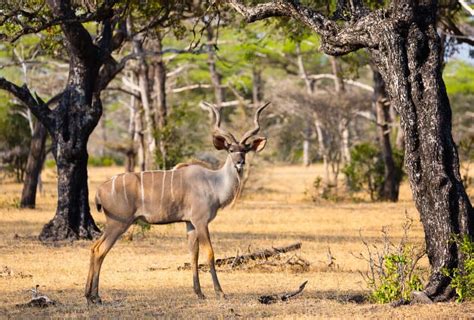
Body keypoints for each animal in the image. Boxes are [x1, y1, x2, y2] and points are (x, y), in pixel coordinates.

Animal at [85, 101, 270, 304]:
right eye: (230, 150)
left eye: (244, 150)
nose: (240, 162)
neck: (213, 183)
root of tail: (100, 191)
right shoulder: (200, 221)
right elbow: (210, 253)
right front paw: (220, 292)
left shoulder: (189, 223)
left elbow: (193, 254)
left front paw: (199, 293)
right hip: (118, 223)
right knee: (101, 250)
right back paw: (95, 297)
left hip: (114, 224)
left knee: (94, 248)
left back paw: (89, 295)